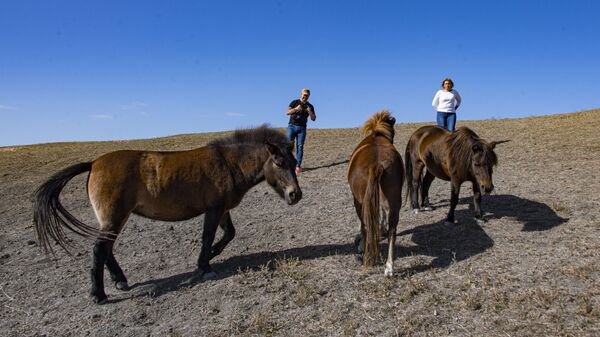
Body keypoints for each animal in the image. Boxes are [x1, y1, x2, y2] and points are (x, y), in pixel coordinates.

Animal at [35, 124, 302, 304]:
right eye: (278, 163)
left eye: (294, 162)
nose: (295, 195)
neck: (229, 164)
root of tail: (93, 163)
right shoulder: (214, 209)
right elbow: (208, 236)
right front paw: (204, 265)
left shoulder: (222, 209)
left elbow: (229, 234)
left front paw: (211, 255)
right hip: (114, 217)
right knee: (100, 250)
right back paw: (98, 294)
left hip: (114, 219)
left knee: (106, 249)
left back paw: (120, 280)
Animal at [346, 110, 404, 276]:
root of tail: (376, 164)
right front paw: (381, 229)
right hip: (394, 200)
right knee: (392, 231)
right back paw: (389, 267)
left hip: (360, 202)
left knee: (366, 225)